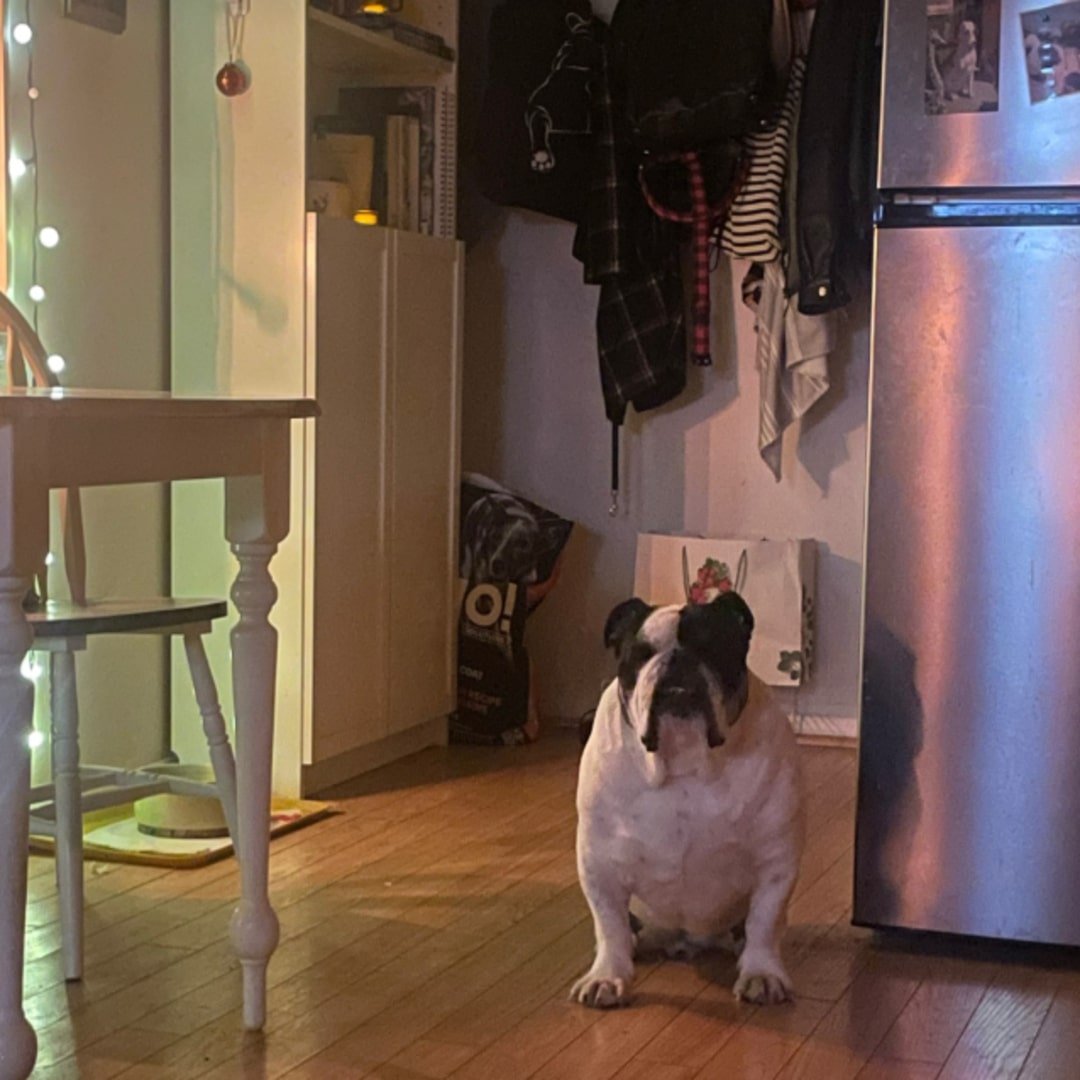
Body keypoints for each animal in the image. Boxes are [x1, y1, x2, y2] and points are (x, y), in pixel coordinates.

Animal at [574, 596, 803, 1006]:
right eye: (641, 654)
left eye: (713, 648)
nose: (678, 659)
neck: (683, 761)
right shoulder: (598, 863)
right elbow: (609, 924)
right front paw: (607, 976)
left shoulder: (775, 861)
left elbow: (764, 921)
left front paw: (761, 973)